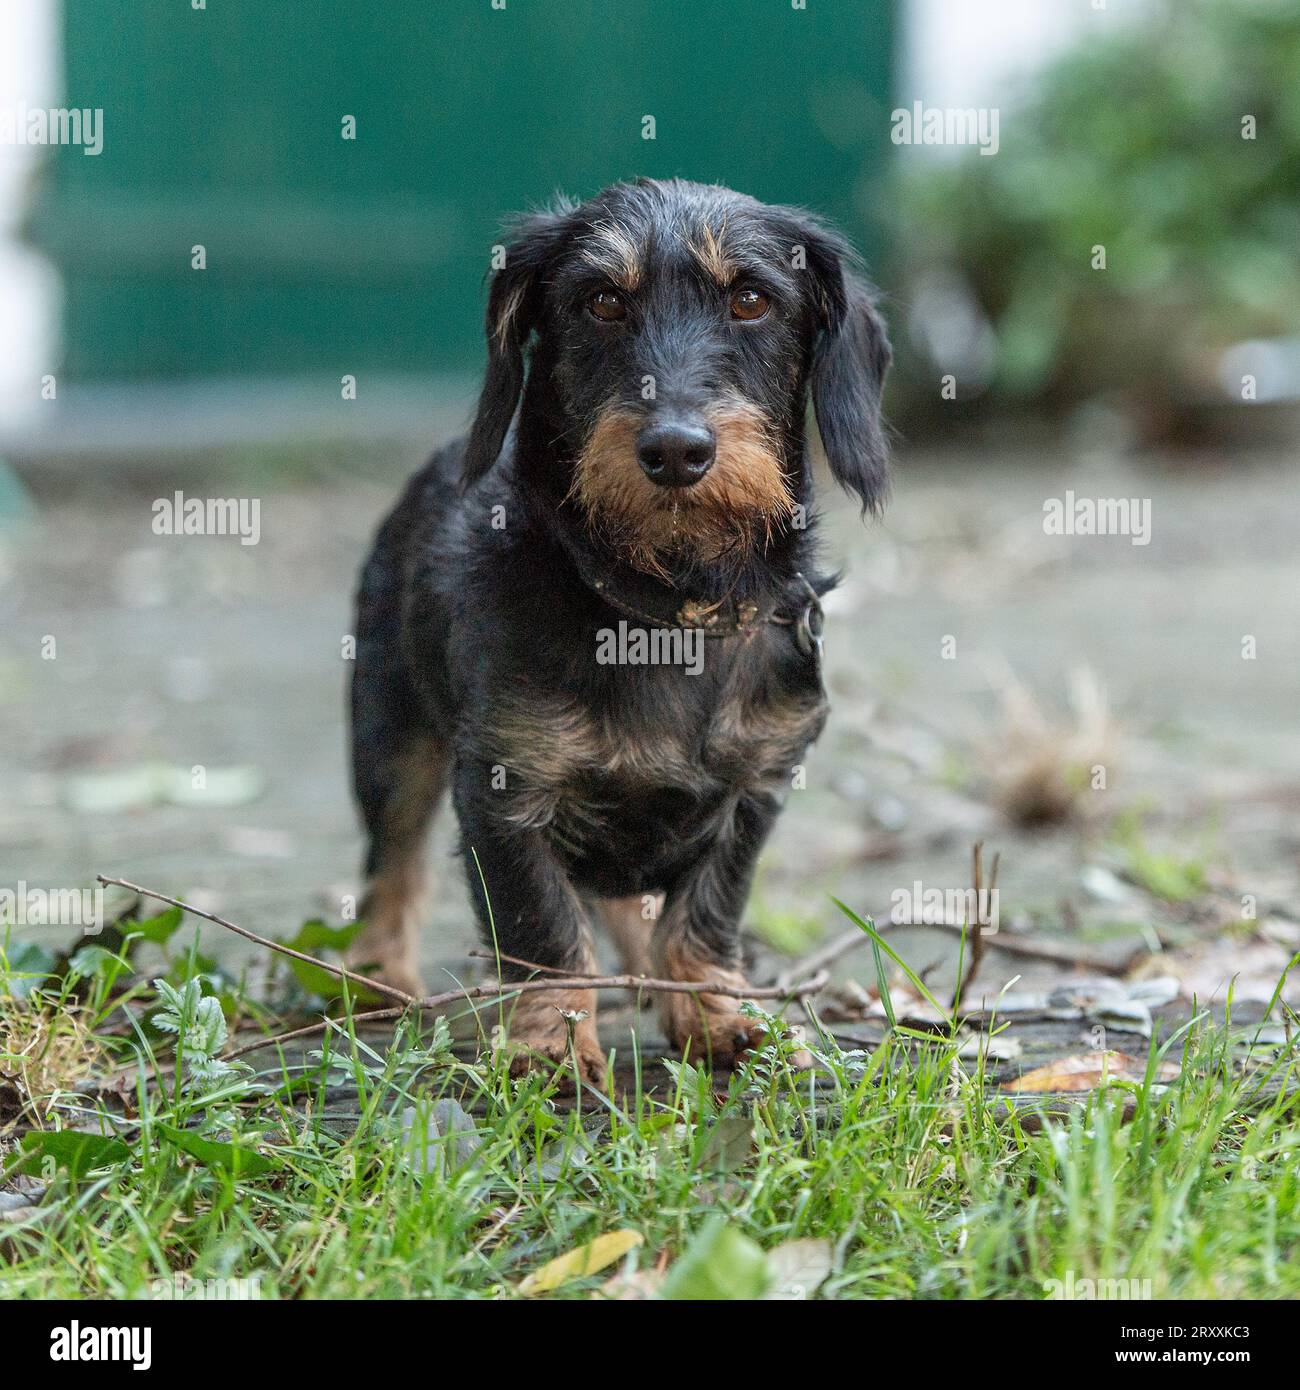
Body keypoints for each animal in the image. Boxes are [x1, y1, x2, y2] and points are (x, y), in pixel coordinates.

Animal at [350, 176, 889, 1084]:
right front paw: (554, 1043)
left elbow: (704, 911)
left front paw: (715, 1013)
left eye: (751, 299)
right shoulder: (504, 791)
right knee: (390, 865)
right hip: (389, 741)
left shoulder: (757, 786)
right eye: (601, 301)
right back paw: (379, 977)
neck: (665, 608)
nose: (675, 450)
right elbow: (541, 926)